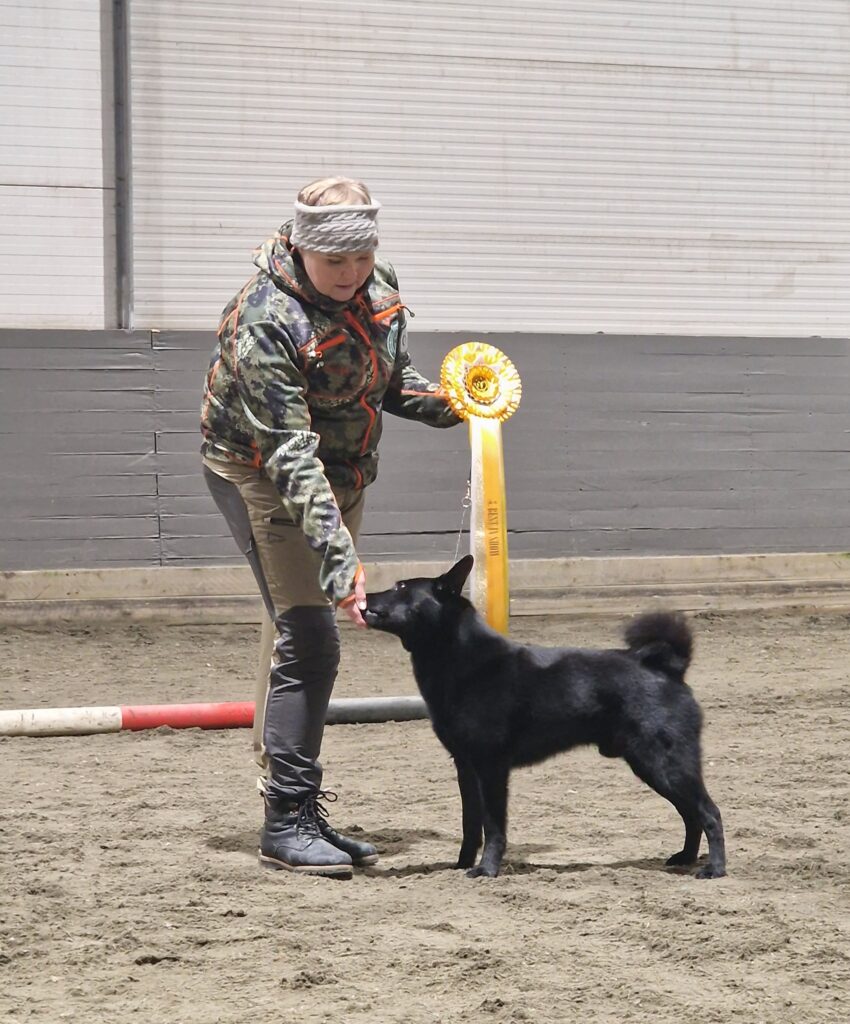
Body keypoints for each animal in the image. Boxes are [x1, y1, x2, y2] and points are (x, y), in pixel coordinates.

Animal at [362, 557, 729, 876]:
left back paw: (715, 869)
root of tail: (670, 668)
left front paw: (486, 870)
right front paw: (461, 865)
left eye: (399, 587)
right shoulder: (465, 766)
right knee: (691, 815)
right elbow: (470, 825)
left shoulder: (491, 766)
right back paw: (684, 858)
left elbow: (493, 826)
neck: (459, 658)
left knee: (709, 813)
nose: (363, 593)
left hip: (664, 764)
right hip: (654, 767)